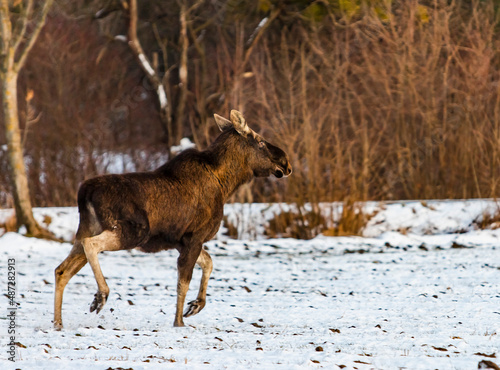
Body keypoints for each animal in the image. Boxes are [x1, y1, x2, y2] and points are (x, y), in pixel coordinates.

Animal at [52, 110, 292, 330]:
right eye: (260, 142)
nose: (286, 164)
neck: (227, 185)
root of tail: (85, 192)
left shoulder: (181, 240)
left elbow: (208, 263)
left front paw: (196, 306)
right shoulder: (195, 236)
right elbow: (183, 282)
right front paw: (179, 322)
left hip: (86, 229)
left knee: (61, 270)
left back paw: (58, 323)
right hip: (132, 231)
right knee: (91, 246)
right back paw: (101, 295)